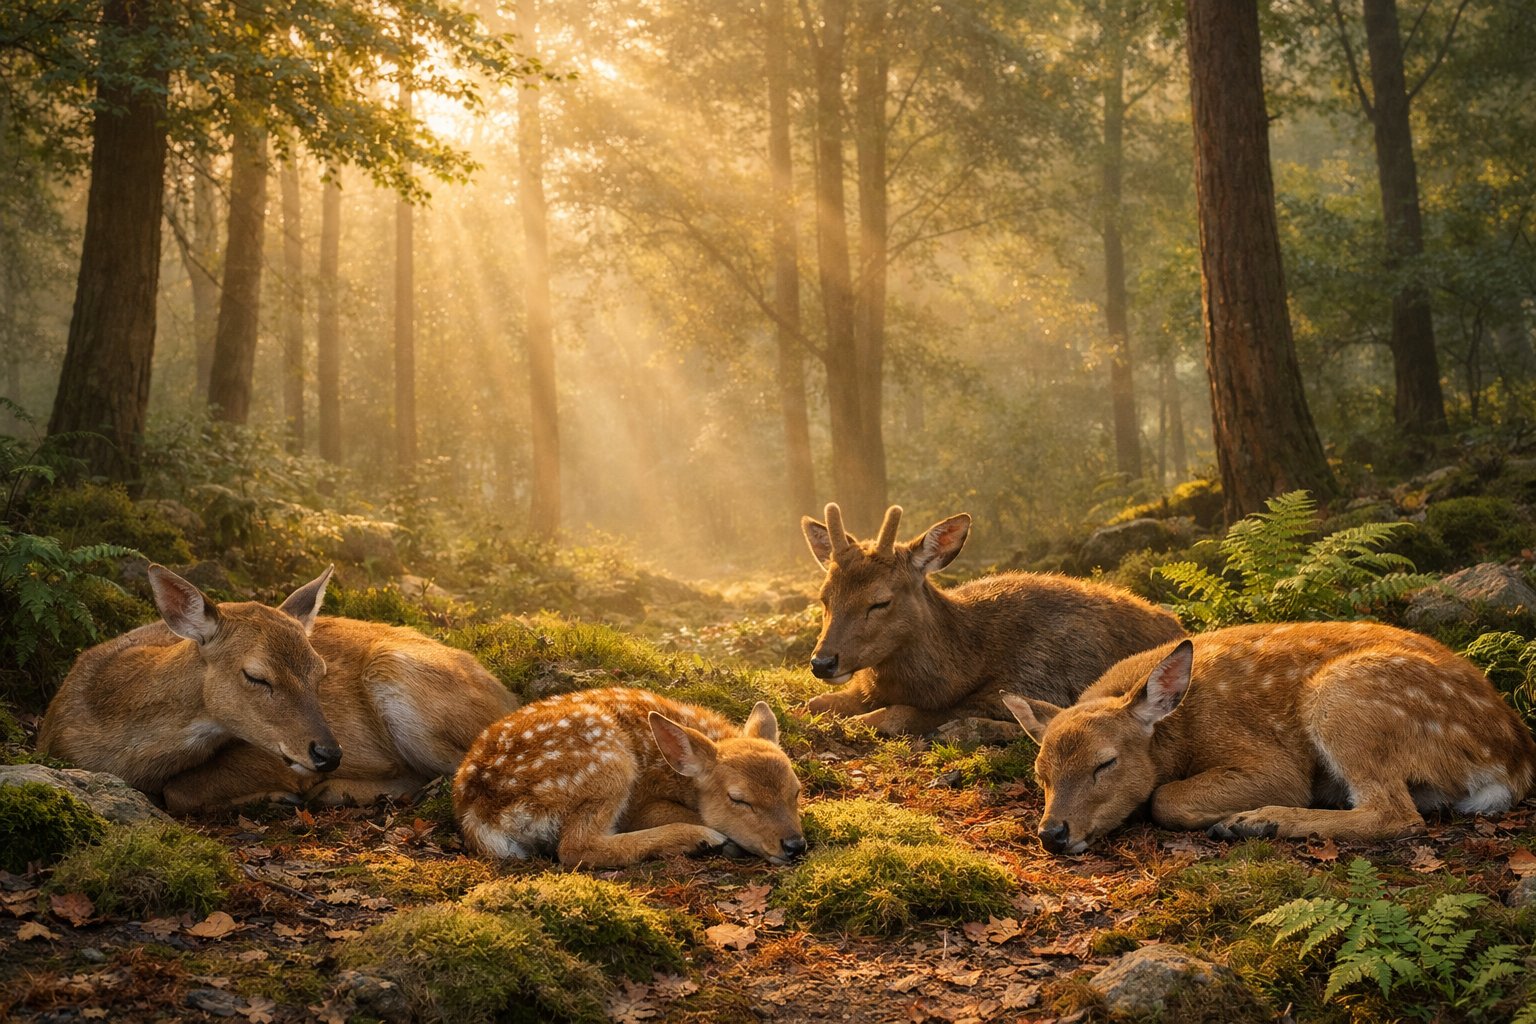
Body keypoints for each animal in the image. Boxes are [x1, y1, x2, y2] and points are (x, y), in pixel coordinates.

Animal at [39, 564, 518, 813]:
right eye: (256, 675)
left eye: (320, 671)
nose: (329, 753)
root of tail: (509, 696)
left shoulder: (269, 757)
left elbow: (180, 792)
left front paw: (279, 795)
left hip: (396, 673)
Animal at [454, 687, 805, 869]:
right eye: (738, 799)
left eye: (796, 791)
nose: (795, 845)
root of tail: (480, 815)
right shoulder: (642, 802)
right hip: (608, 761)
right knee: (575, 847)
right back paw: (700, 838)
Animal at [799, 503, 1186, 737]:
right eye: (824, 597)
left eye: (880, 601)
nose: (822, 662)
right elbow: (814, 703)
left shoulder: (1035, 681)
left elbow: (902, 715)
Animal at [1004, 622, 1536, 853]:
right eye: (1040, 774)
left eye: (1106, 762)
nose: (1052, 834)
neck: (1177, 733)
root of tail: (1513, 761)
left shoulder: (1271, 763)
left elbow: (1164, 797)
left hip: (1344, 698)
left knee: (1396, 815)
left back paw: (1255, 822)